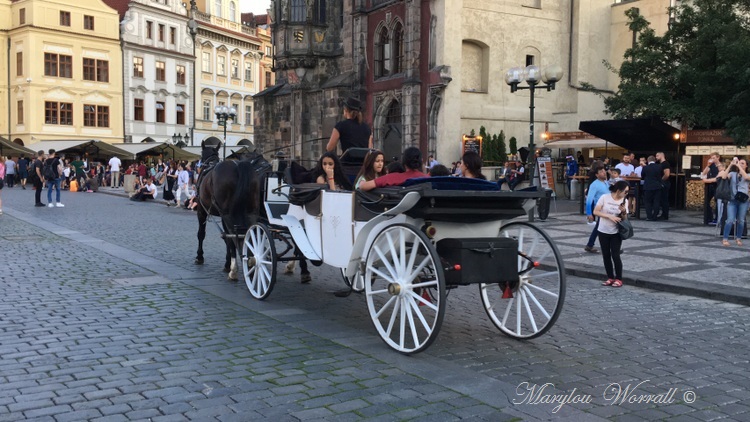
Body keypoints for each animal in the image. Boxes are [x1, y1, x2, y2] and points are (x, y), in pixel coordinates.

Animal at [195, 143, 272, 280]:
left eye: (201, 153)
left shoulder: (201, 210)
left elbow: (202, 234)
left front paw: (200, 256)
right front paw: (227, 262)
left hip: (228, 214)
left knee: (234, 237)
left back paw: (236, 269)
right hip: (251, 212)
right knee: (250, 235)